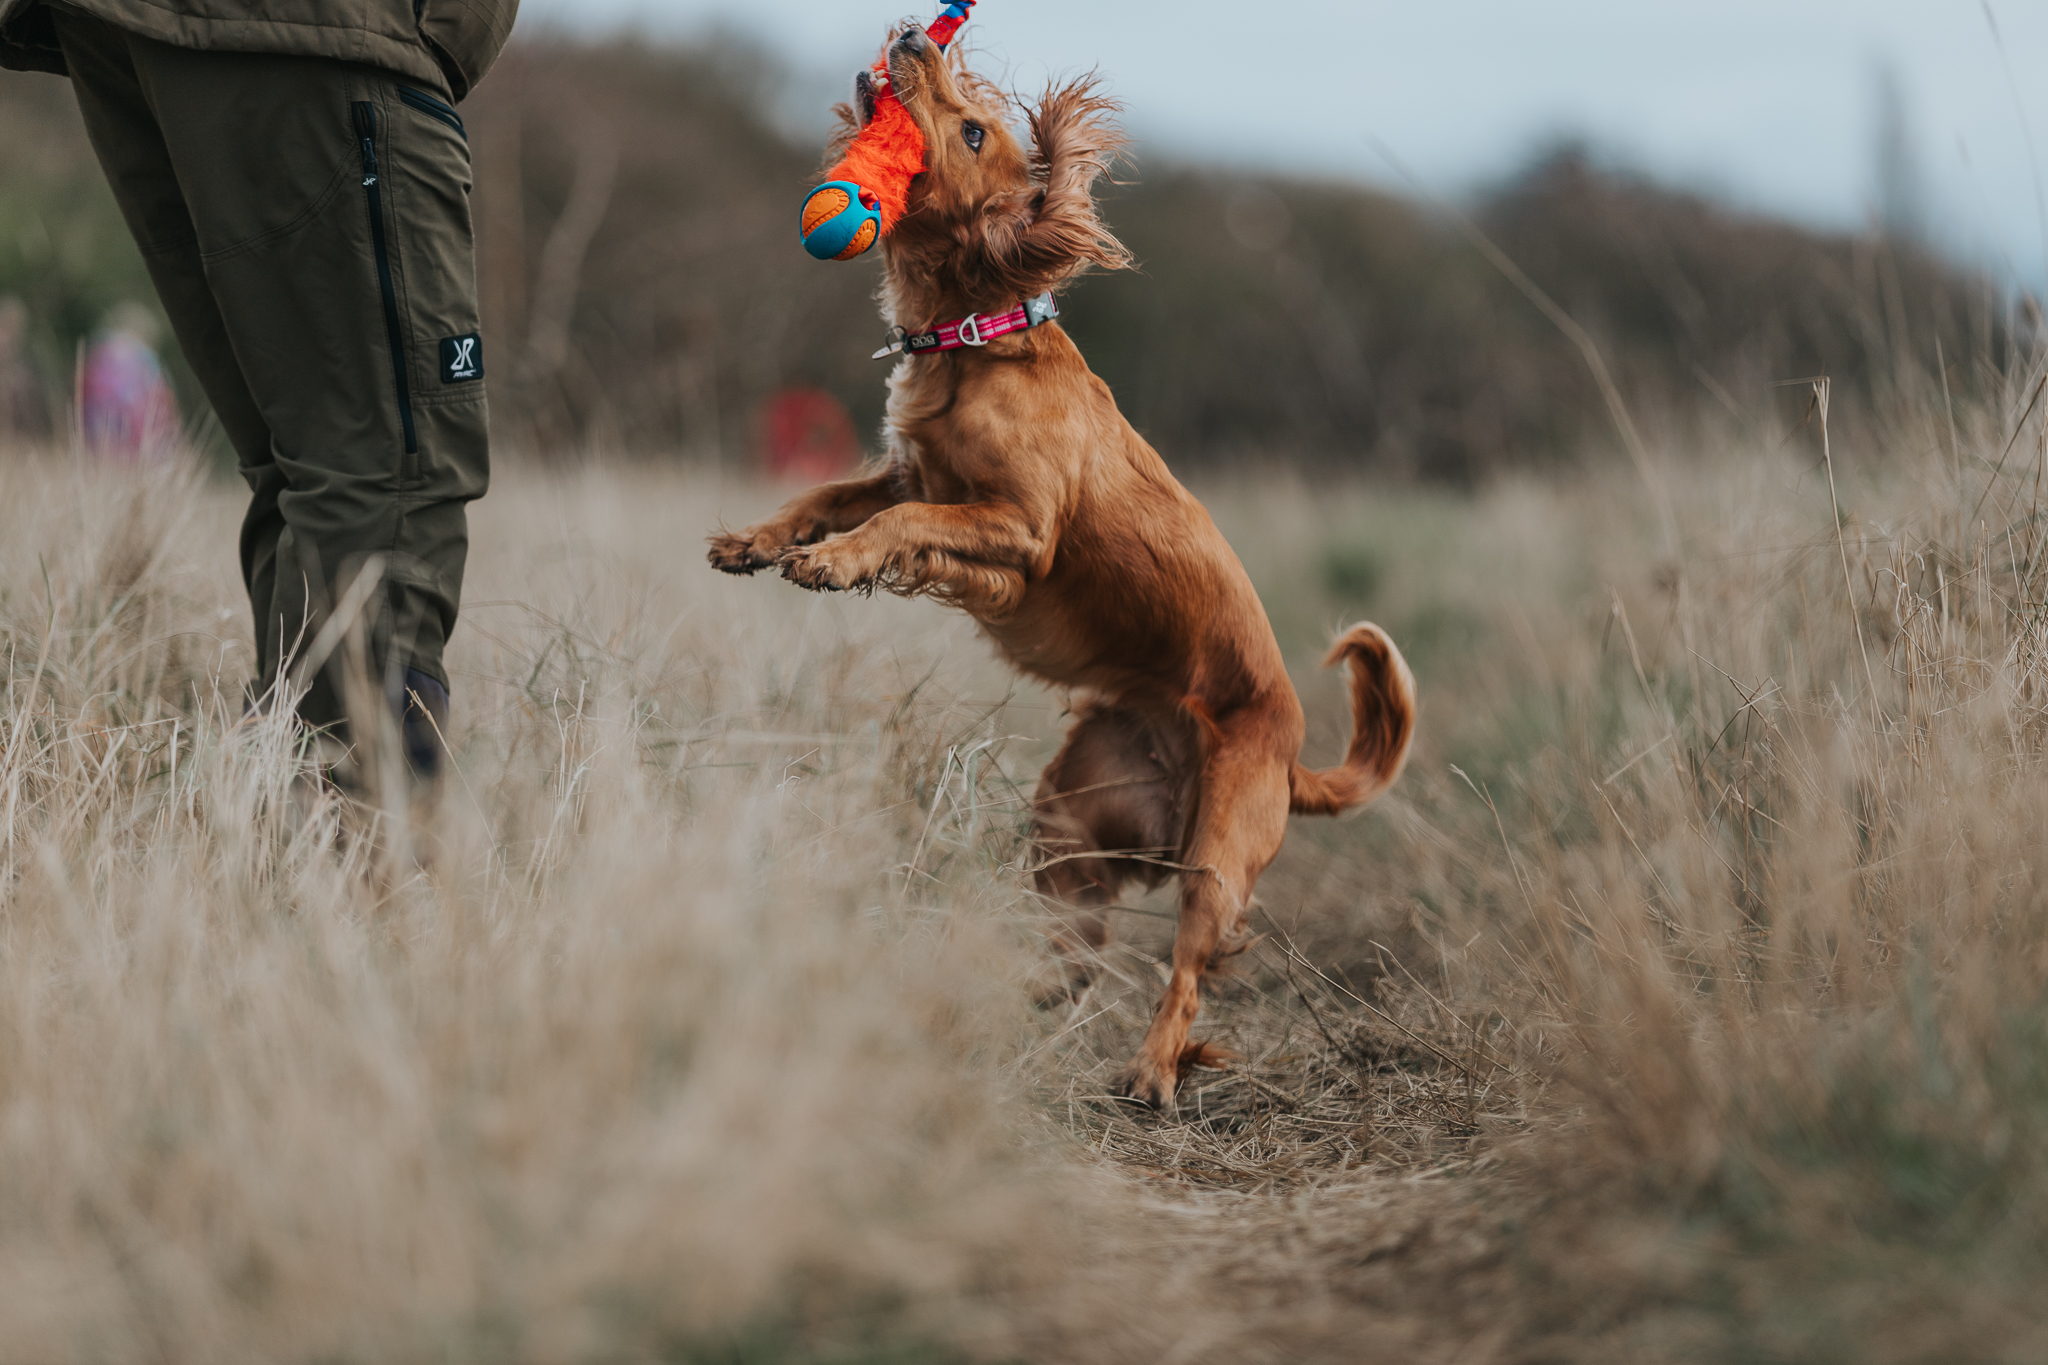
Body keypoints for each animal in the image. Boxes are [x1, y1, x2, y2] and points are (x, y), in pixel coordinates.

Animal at [712, 24, 1417, 1113]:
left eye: (970, 128)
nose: (909, 34)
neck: (974, 340)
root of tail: (1291, 758)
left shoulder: (1017, 530)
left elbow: (907, 521)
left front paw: (832, 566)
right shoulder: (907, 468)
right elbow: (828, 496)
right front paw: (760, 542)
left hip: (1217, 859)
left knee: (1183, 972)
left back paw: (1151, 1071)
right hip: (1066, 816)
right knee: (1079, 954)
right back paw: (1017, 991)